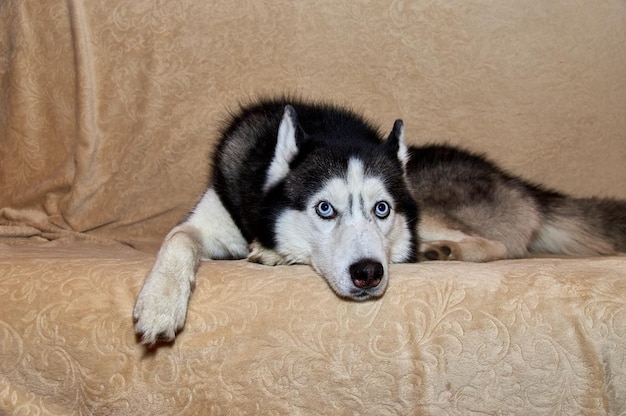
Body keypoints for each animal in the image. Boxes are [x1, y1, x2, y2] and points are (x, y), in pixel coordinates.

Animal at [133, 97, 624, 344]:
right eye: (324, 208)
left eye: (381, 208)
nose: (368, 273)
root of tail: (516, 182)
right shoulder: (209, 219)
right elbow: (178, 238)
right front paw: (160, 302)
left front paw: (274, 255)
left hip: (427, 197)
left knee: (500, 246)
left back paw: (441, 250)